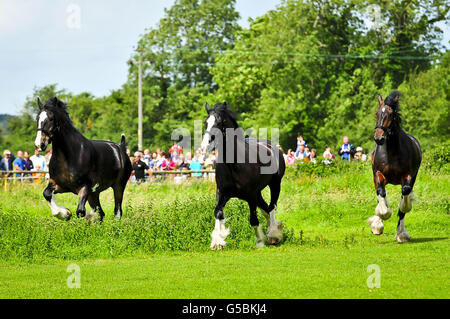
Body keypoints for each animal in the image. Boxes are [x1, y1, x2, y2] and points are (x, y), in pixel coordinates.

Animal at [200, 102, 284, 250]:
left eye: (220, 122)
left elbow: (253, 219)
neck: (234, 165)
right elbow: (218, 213)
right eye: (206, 122)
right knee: (266, 209)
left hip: (274, 185)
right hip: (258, 193)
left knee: (272, 207)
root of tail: (272, 147)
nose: (205, 146)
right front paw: (217, 242)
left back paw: (274, 235)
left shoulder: (250, 195)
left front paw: (260, 242)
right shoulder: (222, 193)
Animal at [368, 92, 424, 242]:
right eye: (377, 113)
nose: (379, 138)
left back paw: (401, 234)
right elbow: (381, 195)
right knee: (380, 195)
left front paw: (401, 232)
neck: (391, 152)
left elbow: (404, 202)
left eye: (391, 114)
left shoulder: (408, 176)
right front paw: (378, 223)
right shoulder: (378, 174)